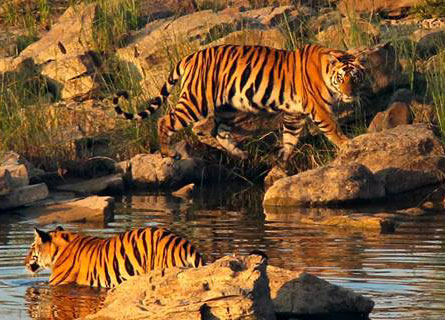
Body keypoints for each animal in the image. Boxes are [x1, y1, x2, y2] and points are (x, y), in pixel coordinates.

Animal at [113, 43, 364, 161]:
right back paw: (168, 153)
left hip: (228, 108)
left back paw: (240, 154)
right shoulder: (319, 109)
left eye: (355, 77)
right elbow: (333, 129)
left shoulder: (295, 113)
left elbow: (290, 138)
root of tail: (190, 56)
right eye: (342, 78)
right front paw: (348, 145)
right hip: (196, 101)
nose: (350, 93)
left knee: (213, 132)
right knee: (166, 120)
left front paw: (282, 161)